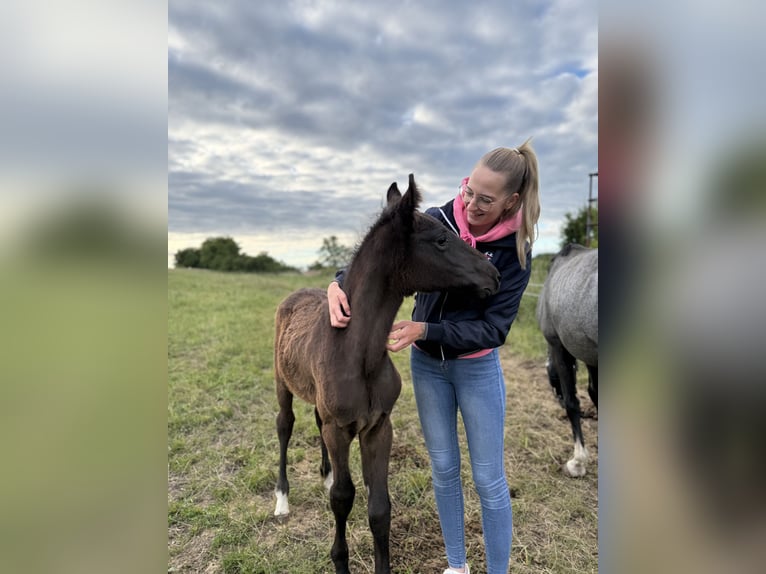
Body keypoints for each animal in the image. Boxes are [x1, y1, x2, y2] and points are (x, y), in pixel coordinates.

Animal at [536, 243, 598, 477]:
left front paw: (578, 462)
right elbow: (594, 393)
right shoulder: (590, 355)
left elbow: (573, 401)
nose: (558, 399)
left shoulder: (558, 346)